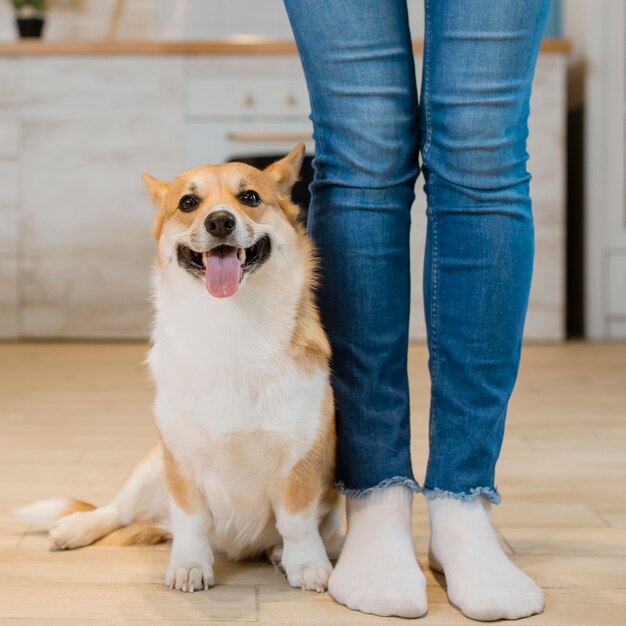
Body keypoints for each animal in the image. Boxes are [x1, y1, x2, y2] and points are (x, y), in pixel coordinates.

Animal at [18, 144, 342, 592]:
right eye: (188, 203)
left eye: (250, 198)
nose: (220, 221)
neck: (228, 323)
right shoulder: (181, 461)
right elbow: (191, 521)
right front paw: (190, 566)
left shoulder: (302, 461)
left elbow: (296, 523)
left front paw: (306, 564)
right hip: (152, 466)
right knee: (118, 510)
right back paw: (76, 526)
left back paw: (277, 554)